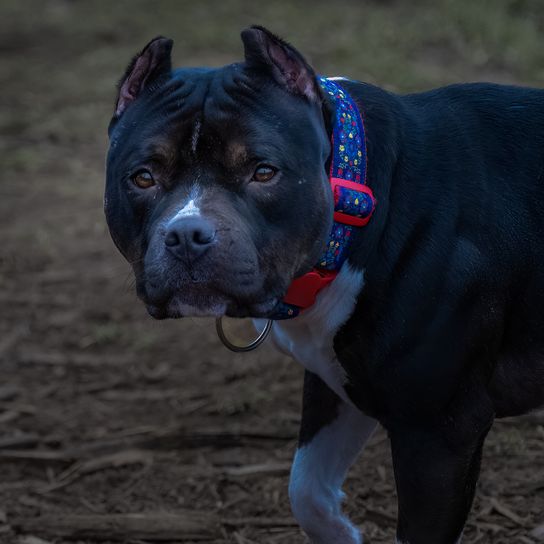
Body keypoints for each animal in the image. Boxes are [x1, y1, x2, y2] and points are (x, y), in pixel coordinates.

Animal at [105, 26, 544, 544]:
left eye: (264, 171)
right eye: (143, 177)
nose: (187, 235)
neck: (362, 201)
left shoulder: (439, 429)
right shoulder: (335, 381)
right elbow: (307, 488)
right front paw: (343, 533)